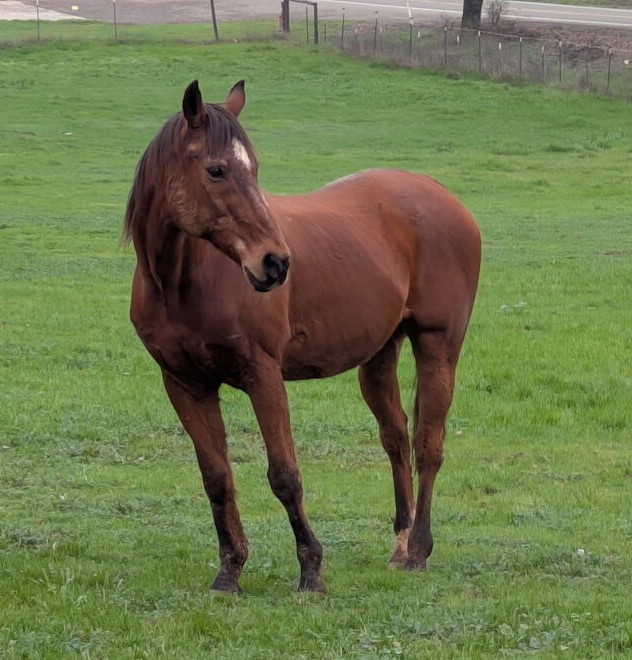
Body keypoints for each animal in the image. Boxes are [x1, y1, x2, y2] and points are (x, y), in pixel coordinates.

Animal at [123, 80, 481, 593]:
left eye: (254, 168)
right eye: (216, 170)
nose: (275, 262)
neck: (182, 283)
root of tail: (441, 195)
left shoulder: (263, 376)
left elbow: (285, 475)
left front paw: (311, 569)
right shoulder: (185, 385)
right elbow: (216, 478)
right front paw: (229, 572)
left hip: (438, 346)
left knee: (428, 446)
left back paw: (418, 550)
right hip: (378, 358)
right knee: (396, 438)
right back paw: (400, 544)